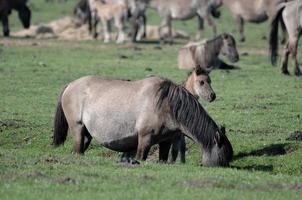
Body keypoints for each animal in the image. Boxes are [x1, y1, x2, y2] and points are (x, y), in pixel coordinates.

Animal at [53, 74, 234, 166]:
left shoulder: (166, 141)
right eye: (223, 157)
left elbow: (163, 158)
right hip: (77, 128)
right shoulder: (145, 138)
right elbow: (141, 157)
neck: (167, 104)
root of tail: (70, 85)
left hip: (87, 134)